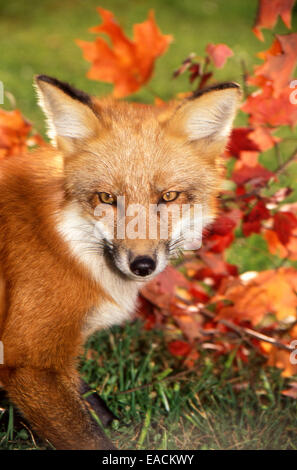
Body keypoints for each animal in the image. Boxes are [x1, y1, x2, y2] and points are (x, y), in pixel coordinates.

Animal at [0, 75, 240, 450]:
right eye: (107, 198)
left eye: (168, 196)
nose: (142, 265)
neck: (63, 242)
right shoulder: (28, 360)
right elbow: (90, 437)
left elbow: (95, 405)